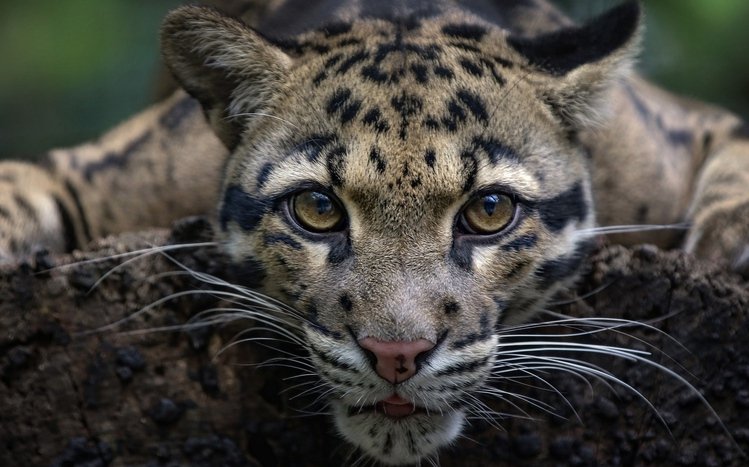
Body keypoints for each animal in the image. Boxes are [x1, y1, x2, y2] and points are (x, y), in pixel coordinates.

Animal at [1, 0, 749, 465]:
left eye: (489, 210)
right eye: (317, 208)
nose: (396, 354)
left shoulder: (685, 126)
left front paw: (728, 250)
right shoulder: (90, 165)